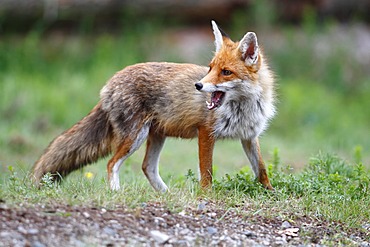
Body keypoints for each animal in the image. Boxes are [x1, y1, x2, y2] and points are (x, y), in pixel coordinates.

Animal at [32, 21, 274, 191]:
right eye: (210, 68)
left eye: (226, 72)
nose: (198, 85)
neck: (243, 108)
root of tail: (109, 83)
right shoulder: (206, 132)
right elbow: (207, 172)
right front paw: (206, 195)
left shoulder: (249, 136)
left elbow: (261, 168)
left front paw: (270, 192)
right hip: (134, 137)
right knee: (112, 164)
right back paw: (116, 192)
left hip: (156, 135)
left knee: (147, 167)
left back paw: (166, 194)